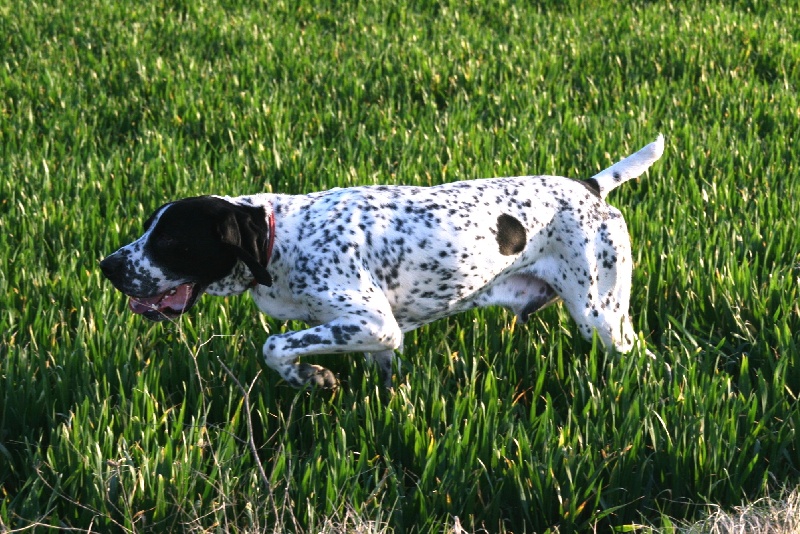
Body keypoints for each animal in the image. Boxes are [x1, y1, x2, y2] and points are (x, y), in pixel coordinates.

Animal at [100, 136, 664, 388]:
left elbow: (274, 346)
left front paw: (311, 378)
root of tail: (591, 187)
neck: (280, 241)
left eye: (171, 240)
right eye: (149, 227)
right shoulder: (376, 341)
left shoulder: (372, 323)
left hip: (602, 318)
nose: (107, 266)